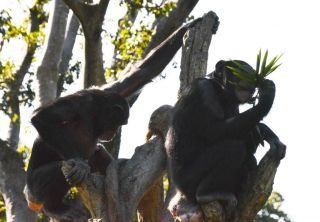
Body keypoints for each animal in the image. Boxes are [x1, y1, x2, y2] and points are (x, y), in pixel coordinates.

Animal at [25, 88, 129, 220]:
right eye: (119, 123)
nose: (115, 132)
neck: (96, 113)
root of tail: (29, 197)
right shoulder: (79, 104)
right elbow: (43, 118)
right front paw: (80, 164)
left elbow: (97, 151)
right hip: (36, 186)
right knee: (60, 167)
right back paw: (55, 208)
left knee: (97, 154)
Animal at [165, 59, 284, 220]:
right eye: (243, 73)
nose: (252, 87)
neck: (220, 90)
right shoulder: (203, 91)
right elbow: (215, 130)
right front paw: (267, 95)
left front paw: (268, 134)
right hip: (188, 181)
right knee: (232, 148)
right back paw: (207, 194)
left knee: (248, 158)